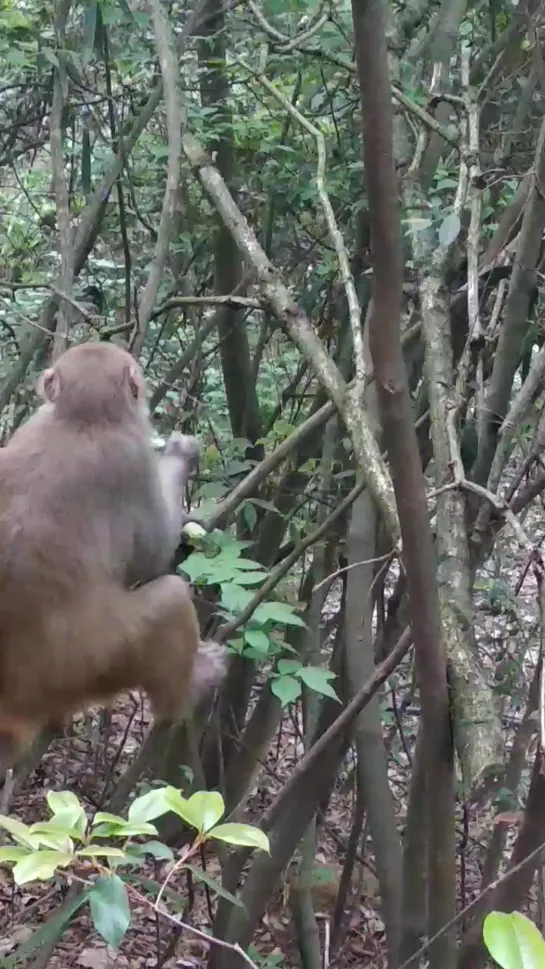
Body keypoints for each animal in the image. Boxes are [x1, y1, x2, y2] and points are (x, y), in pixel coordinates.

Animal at [0, 340, 225, 764]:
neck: (80, 420)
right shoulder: (132, 459)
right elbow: (153, 555)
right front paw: (180, 454)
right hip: (94, 661)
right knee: (170, 600)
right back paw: (186, 693)